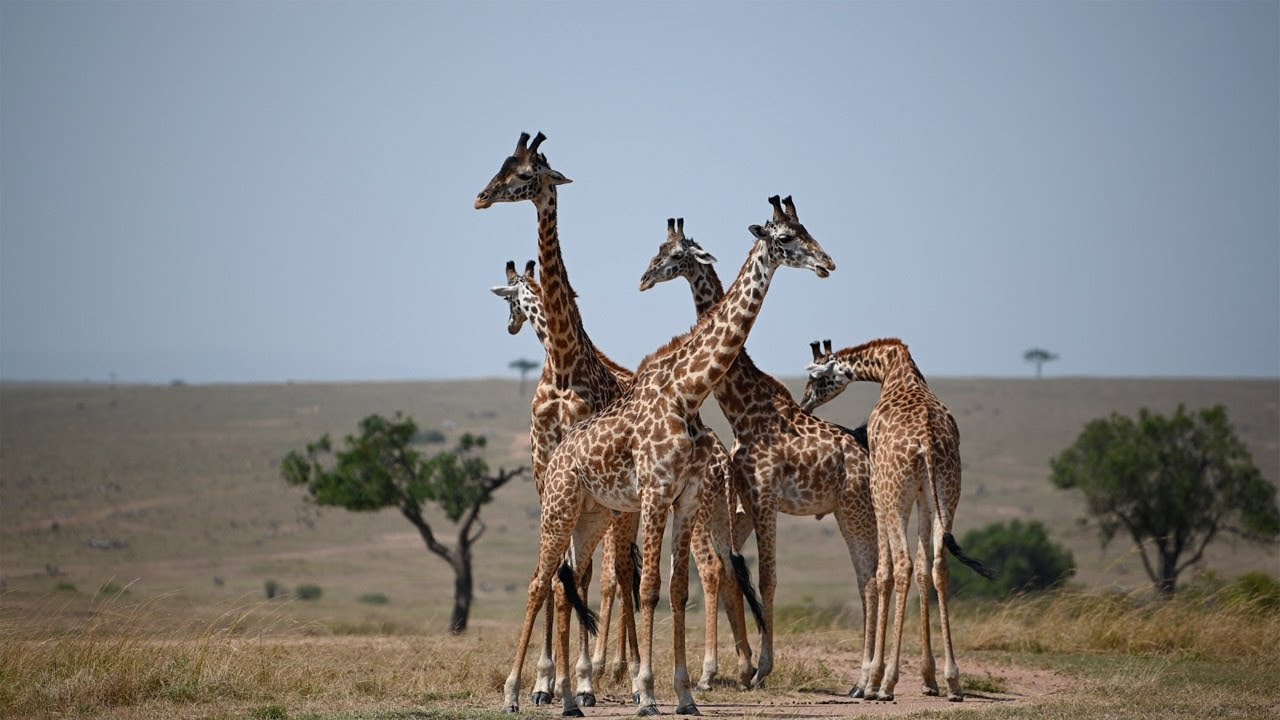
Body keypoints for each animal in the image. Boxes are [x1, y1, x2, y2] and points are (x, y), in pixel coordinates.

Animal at [475, 131, 629, 708]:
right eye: (501, 163)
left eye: (525, 174)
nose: (480, 197)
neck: (562, 360)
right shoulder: (544, 463)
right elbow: (551, 571)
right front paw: (541, 681)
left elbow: (573, 575)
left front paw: (573, 680)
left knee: (614, 573)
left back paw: (604, 675)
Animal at [491, 258, 760, 692]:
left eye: (509, 299)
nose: (511, 325)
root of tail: (722, 459)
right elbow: (604, 575)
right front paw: (592, 672)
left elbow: (604, 576)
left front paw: (595, 673)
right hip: (716, 512)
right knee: (729, 568)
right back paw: (743, 668)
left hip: (693, 510)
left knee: (706, 568)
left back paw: (706, 670)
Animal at [804, 337, 993, 702]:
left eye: (817, 377)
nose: (804, 404)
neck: (893, 367)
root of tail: (927, 442)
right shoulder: (923, 496)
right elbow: (923, 569)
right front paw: (929, 677)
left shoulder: (879, 494)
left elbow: (884, 573)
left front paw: (871, 680)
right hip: (947, 491)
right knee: (939, 566)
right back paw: (953, 680)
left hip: (892, 496)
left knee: (902, 565)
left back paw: (885, 682)